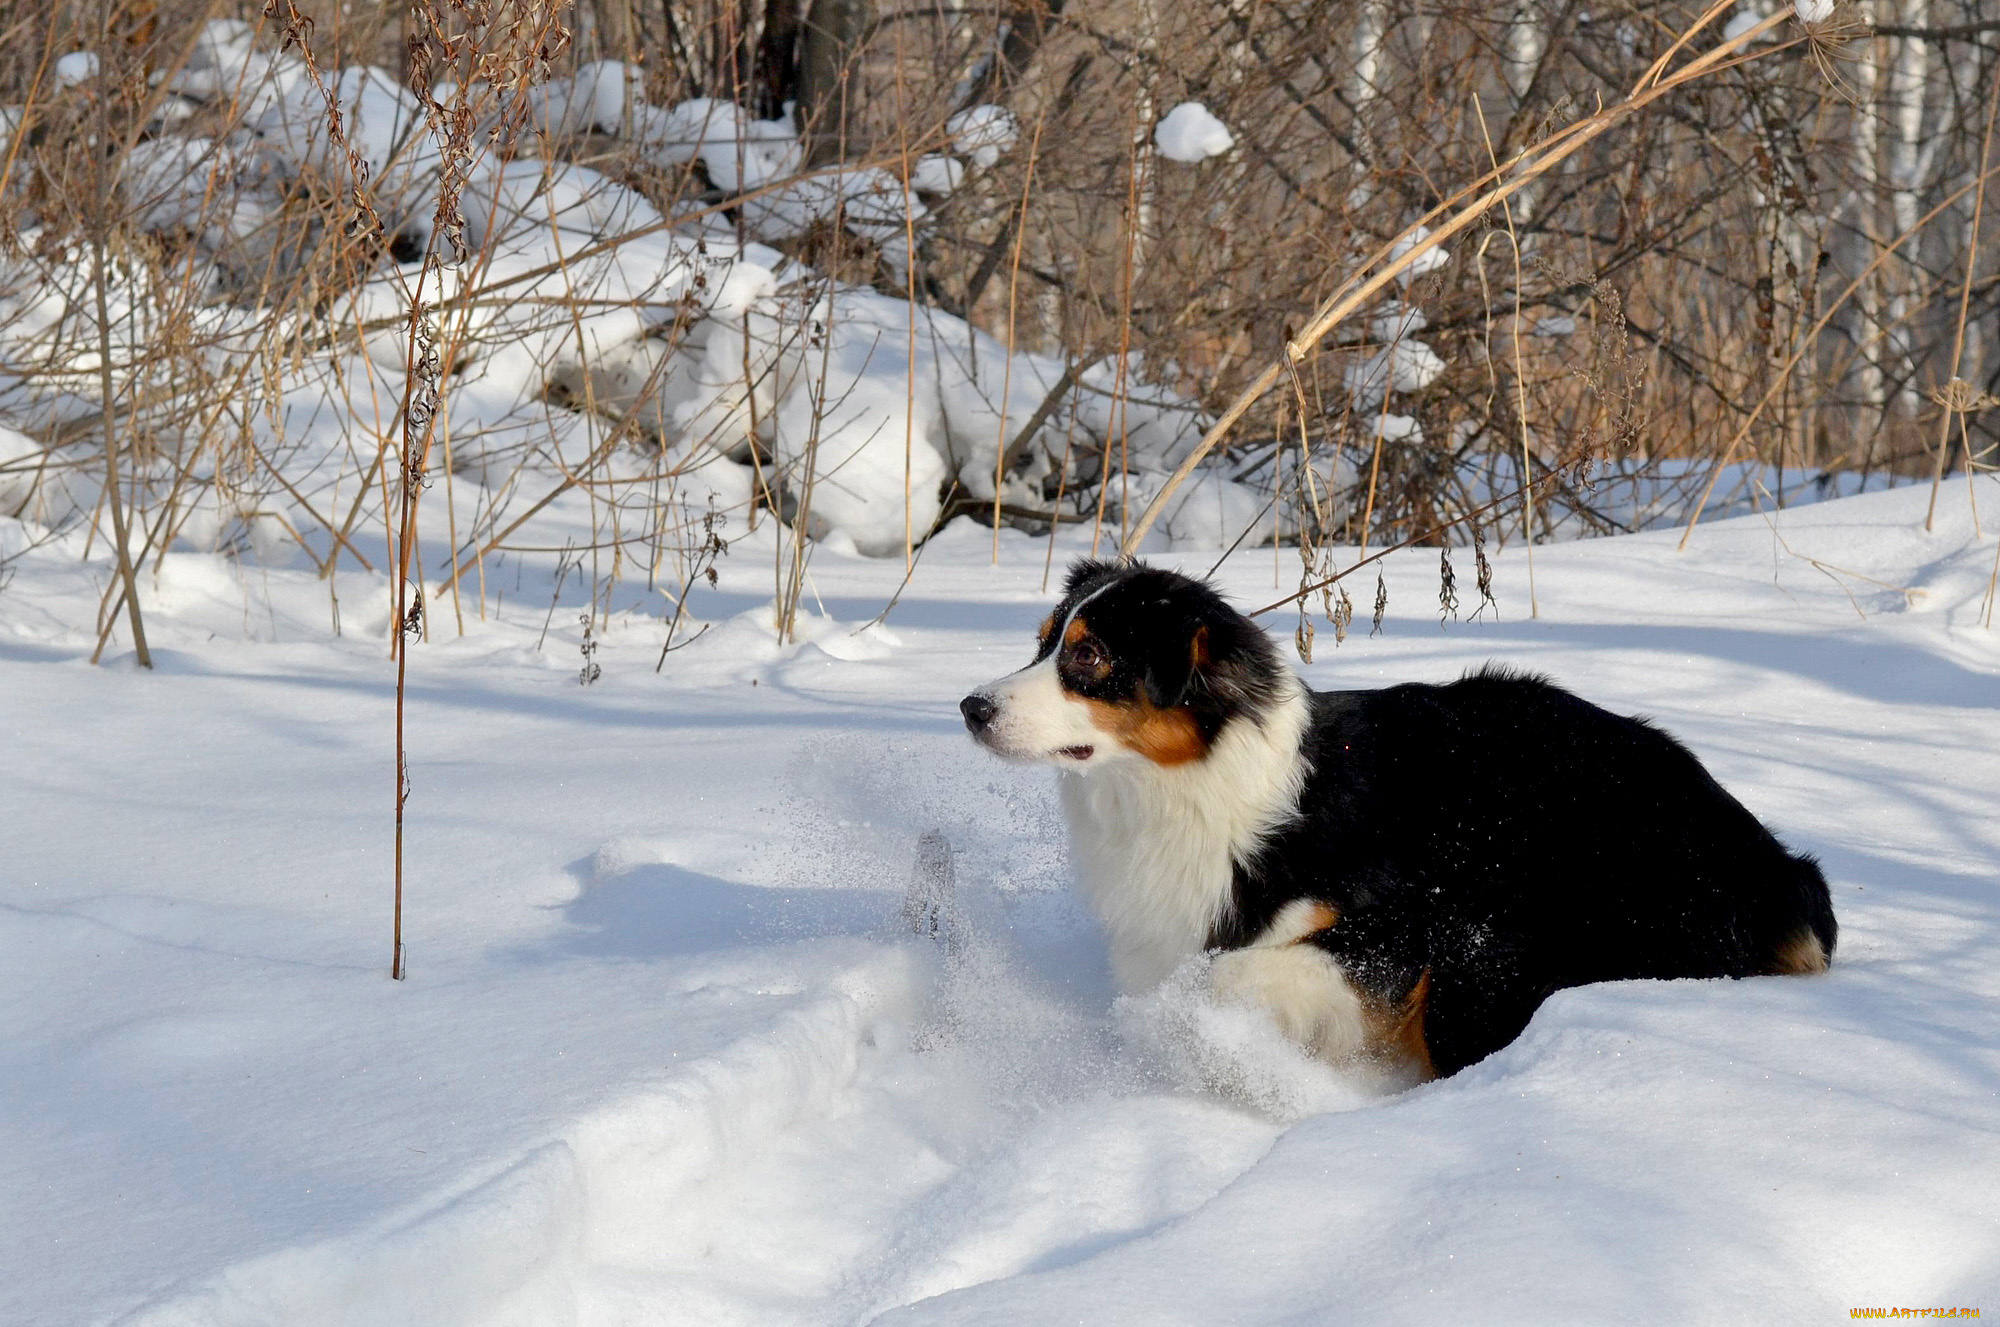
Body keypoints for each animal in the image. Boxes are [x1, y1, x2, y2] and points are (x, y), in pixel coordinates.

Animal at [960, 555, 1832, 1087]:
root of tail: (1779, 867)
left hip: (1510, 928)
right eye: (1042, 644)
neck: (1202, 784)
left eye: (1090, 657)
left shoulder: (1401, 923)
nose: (971, 706)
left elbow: (1230, 973)